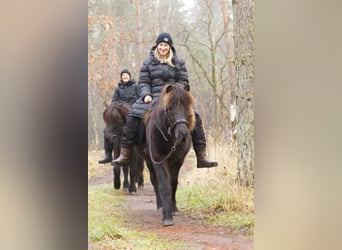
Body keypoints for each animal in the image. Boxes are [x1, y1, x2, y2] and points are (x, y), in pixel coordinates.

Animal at [141, 84, 195, 227]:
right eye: (170, 108)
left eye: (187, 107)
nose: (183, 134)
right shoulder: (158, 159)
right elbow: (164, 185)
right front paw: (167, 216)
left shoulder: (177, 160)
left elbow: (173, 183)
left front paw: (173, 209)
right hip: (149, 161)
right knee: (155, 181)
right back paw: (160, 206)